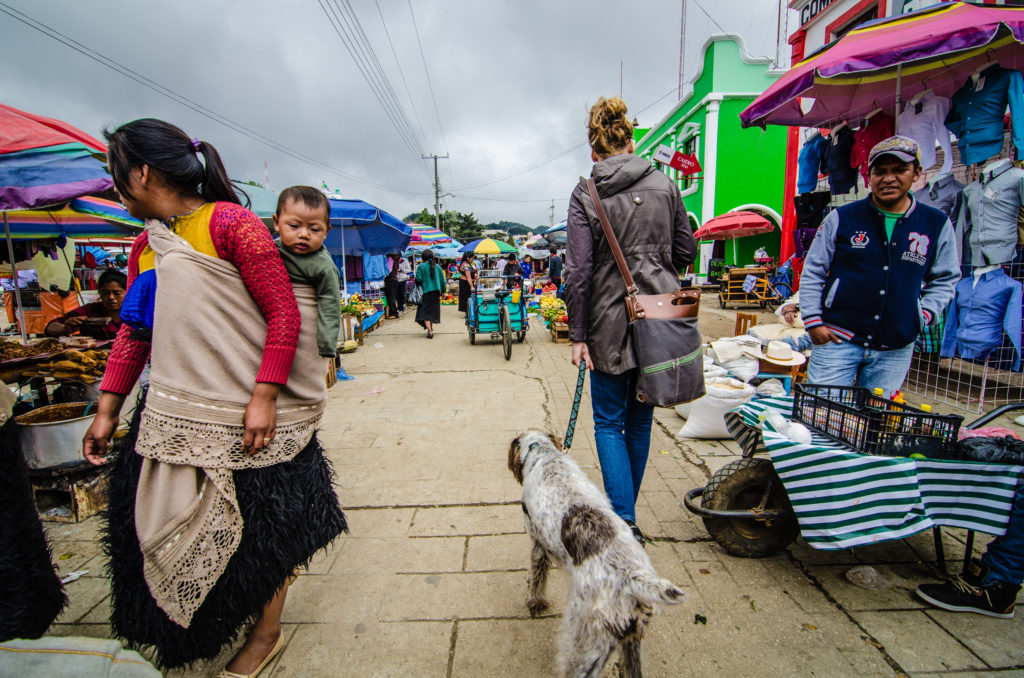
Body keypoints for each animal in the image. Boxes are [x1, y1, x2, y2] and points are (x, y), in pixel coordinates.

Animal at [507, 430, 684, 678]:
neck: (546, 455)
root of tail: (632, 580)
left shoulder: (538, 544)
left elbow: (537, 577)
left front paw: (535, 602)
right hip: (631, 642)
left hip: (584, 645)